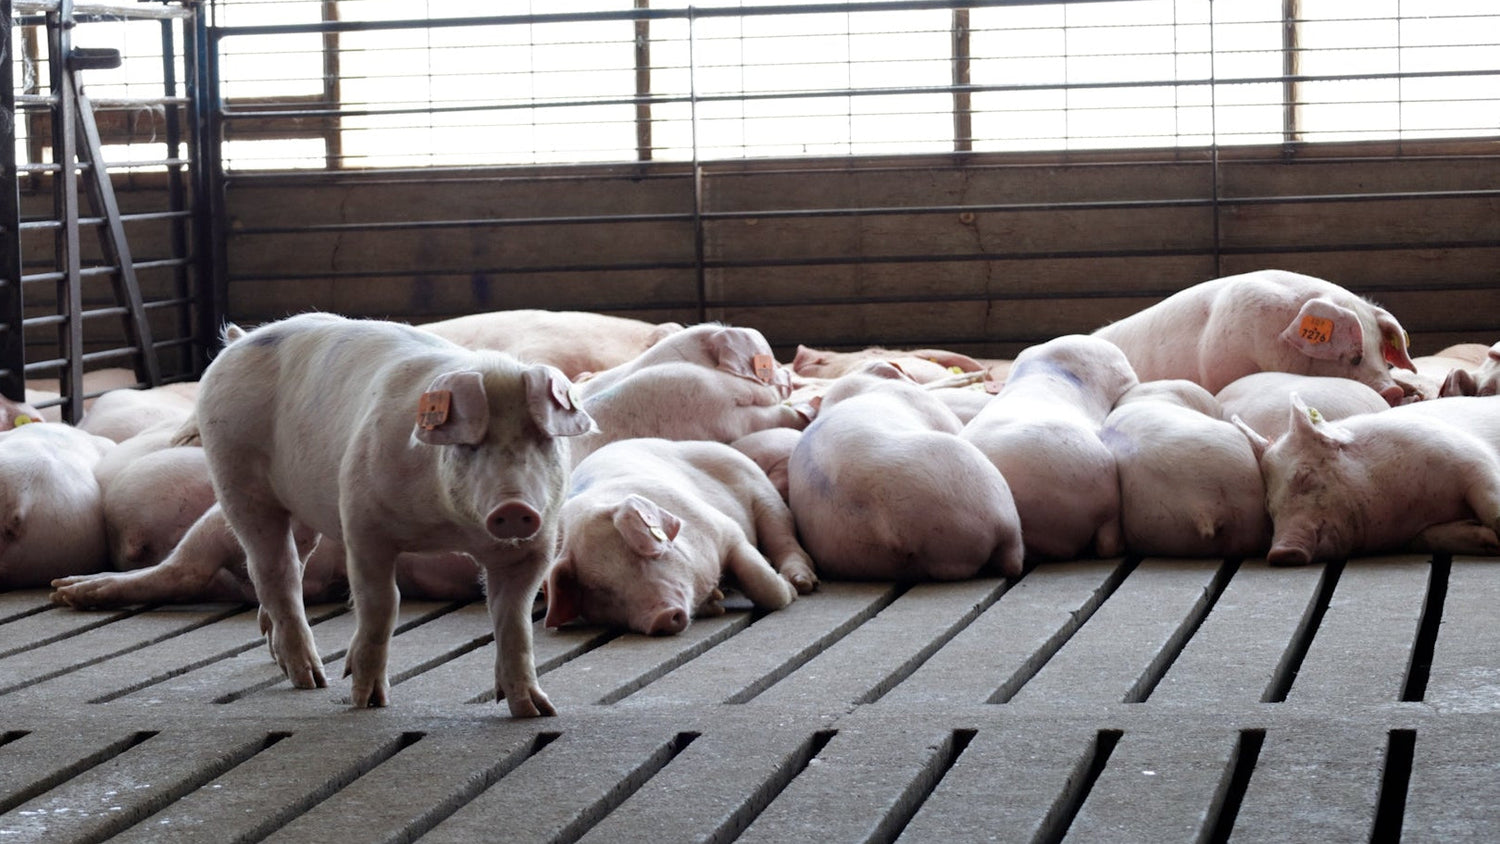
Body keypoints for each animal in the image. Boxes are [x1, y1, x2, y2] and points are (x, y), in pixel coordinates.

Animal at [192, 312, 595, 716]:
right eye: (470, 446)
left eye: (541, 440)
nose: (514, 507)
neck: (447, 528)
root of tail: (240, 340)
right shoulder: (363, 522)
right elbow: (382, 604)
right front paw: (368, 701)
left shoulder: (533, 547)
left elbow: (514, 622)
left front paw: (536, 711)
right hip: (236, 476)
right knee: (274, 569)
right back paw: (311, 680)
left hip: (303, 506)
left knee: (295, 559)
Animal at [545, 438, 816, 635]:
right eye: (600, 590)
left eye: (641, 556)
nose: (660, 617)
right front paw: (715, 604)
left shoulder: (726, 530)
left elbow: (765, 584)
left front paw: (790, 591)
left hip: (765, 494)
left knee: (784, 539)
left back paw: (803, 582)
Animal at [1241, 394, 1500, 565]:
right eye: (1269, 507)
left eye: (1304, 477)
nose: (1279, 553)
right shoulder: (1414, 534)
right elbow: (1428, 537)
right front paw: (1489, 540)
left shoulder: (1472, 459)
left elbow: (1491, 505)